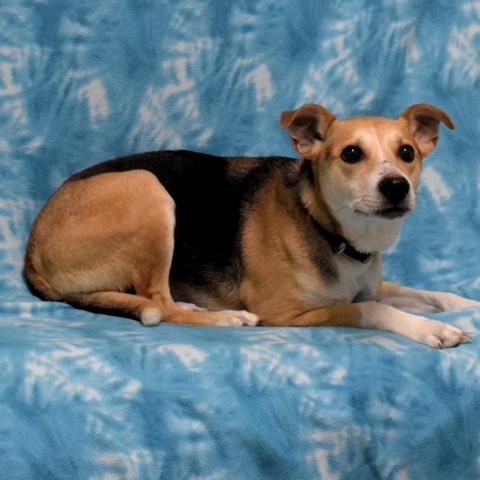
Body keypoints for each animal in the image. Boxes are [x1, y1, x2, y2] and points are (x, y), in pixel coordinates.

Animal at [27, 104, 480, 348]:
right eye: (351, 154)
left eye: (407, 153)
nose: (396, 186)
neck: (330, 232)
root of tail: (33, 249)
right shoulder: (286, 312)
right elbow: (373, 308)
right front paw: (432, 330)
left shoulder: (374, 282)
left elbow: (427, 293)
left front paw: (466, 304)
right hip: (147, 188)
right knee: (159, 302)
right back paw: (224, 319)